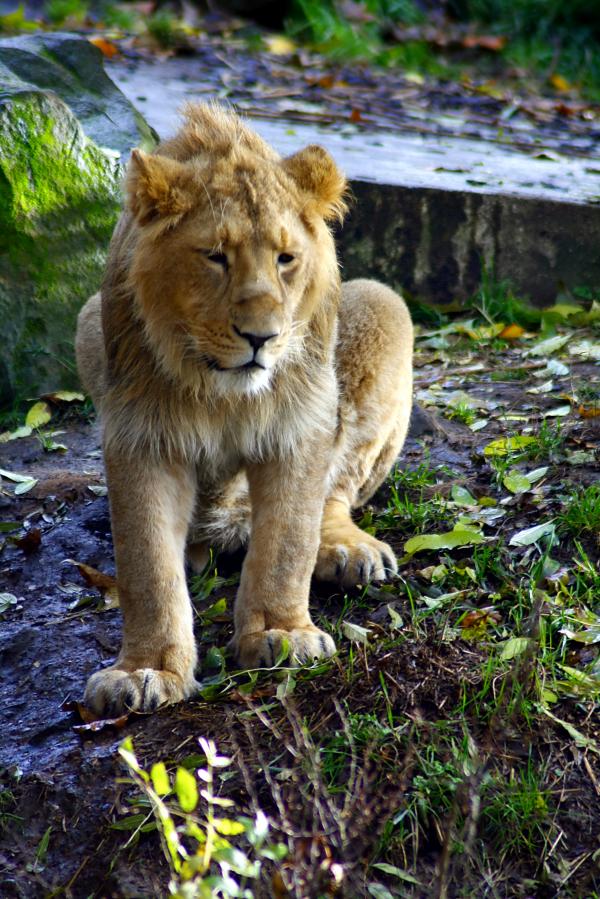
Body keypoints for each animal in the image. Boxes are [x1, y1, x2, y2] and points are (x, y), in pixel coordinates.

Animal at [75, 103, 413, 716]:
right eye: (215, 257)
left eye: (286, 259)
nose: (262, 336)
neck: (218, 389)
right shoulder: (141, 435)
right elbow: (146, 565)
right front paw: (145, 670)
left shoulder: (299, 425)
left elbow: (287, 541)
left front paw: (282, 634)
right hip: (86, 322)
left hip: (384, 304)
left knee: (332, 496)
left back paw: (348, 551)